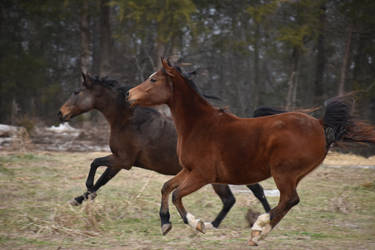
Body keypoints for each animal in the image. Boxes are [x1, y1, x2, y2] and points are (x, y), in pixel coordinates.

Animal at [57, 73, 272, 230]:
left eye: (76, 91)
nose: (61, 113)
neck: (129, 121)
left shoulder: (123, 161)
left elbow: (96, 168)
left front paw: (84, 195)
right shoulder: (120, 160)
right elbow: (99, 173)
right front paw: (81, 198)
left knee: (241, 196)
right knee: (236, 197)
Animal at [128, 58, 375, 246]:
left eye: (153, 79)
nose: (129, 94)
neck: (199, 125)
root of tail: (320, 125)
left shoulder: (203, 175)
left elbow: (177, 195)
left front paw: (198, 224)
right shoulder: (188, 170)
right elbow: (166, 187)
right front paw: (165, 223)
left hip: (283, 173)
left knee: (290, 199)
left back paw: (258, 229)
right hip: (292, 175)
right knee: (287, 202)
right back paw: (260, 230)